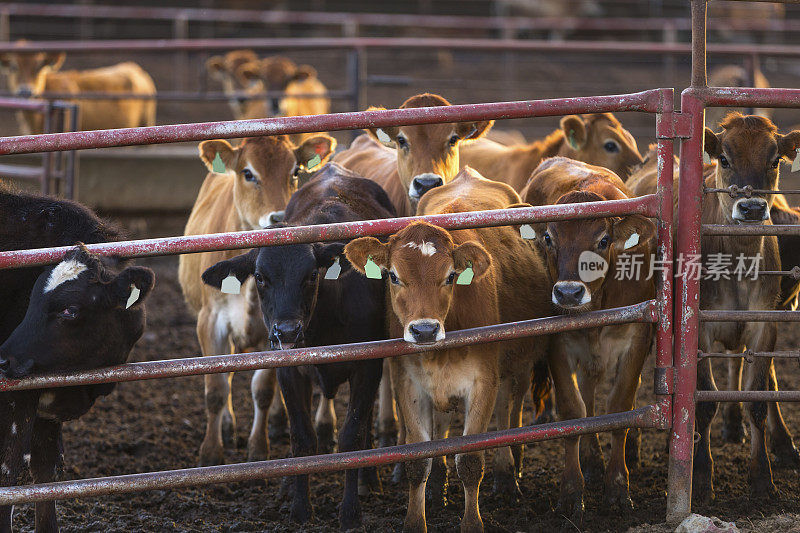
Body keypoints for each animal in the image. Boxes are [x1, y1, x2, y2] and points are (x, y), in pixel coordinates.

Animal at [178, 134, 334, 466]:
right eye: (248, 173)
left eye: (295, 172)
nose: (278, 217)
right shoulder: (210, 321)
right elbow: (216, 389)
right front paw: (211, 452)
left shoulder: (272, 331)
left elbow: (263, 389)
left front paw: (258, 447)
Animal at [346, 220, 496, 532]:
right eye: (393, 276)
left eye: (451, 276)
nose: (424, 330)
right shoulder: (408, 384)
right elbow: (417, 460)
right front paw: (415, 521)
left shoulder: (485, 383)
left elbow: (470, 461)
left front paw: (472, 523)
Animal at [524, 156, 656, 520]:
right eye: (548, 238)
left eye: (603, 241)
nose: (569, 292)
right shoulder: (558, 342)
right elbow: (573, 411)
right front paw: (572, 491)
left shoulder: (637, 335)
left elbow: (621, 407)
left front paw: (618, 487)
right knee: (586, 394)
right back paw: (591, 459)